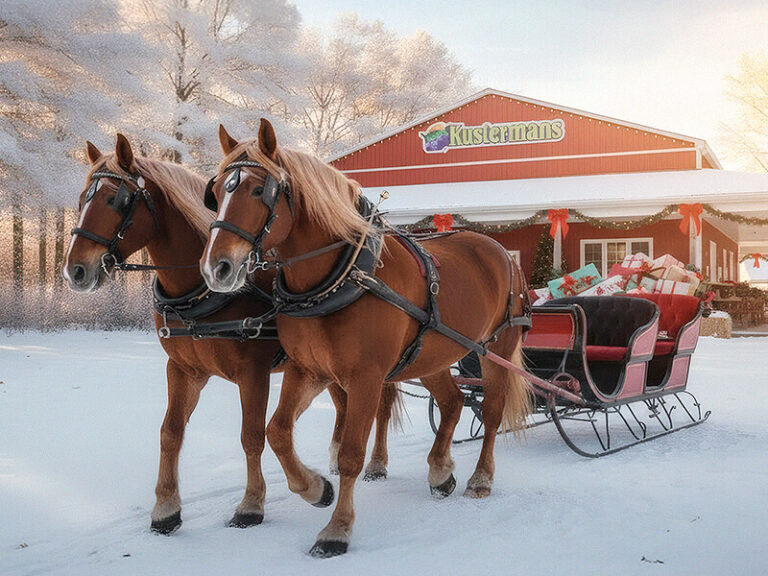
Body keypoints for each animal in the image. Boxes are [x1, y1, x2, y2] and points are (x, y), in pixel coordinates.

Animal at [62, 134, 401, 535]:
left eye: (117, 200)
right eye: (82, 198)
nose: (75, 270)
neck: (199, 291)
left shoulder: (253, 373)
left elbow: (251, 436)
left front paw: (252, 504)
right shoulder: (183, 370)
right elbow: (170, 433)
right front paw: (166, 508)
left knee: (381, 405)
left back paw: (376, 463)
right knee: (345, 405)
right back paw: (335, 459)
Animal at [200, 119, 532, 557]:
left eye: (258, 191)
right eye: (217, 192)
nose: (216, 268)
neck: (340, 276)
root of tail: (500, 250)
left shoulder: (366, 378)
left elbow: (352, 454)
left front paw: (336, 529)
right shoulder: (309, 370)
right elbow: (277, 431)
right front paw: (314, 488)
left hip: (497, 349)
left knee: (491, 412)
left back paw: (480, 478)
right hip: (431, 353)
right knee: (453, 402)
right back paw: (440, 470)